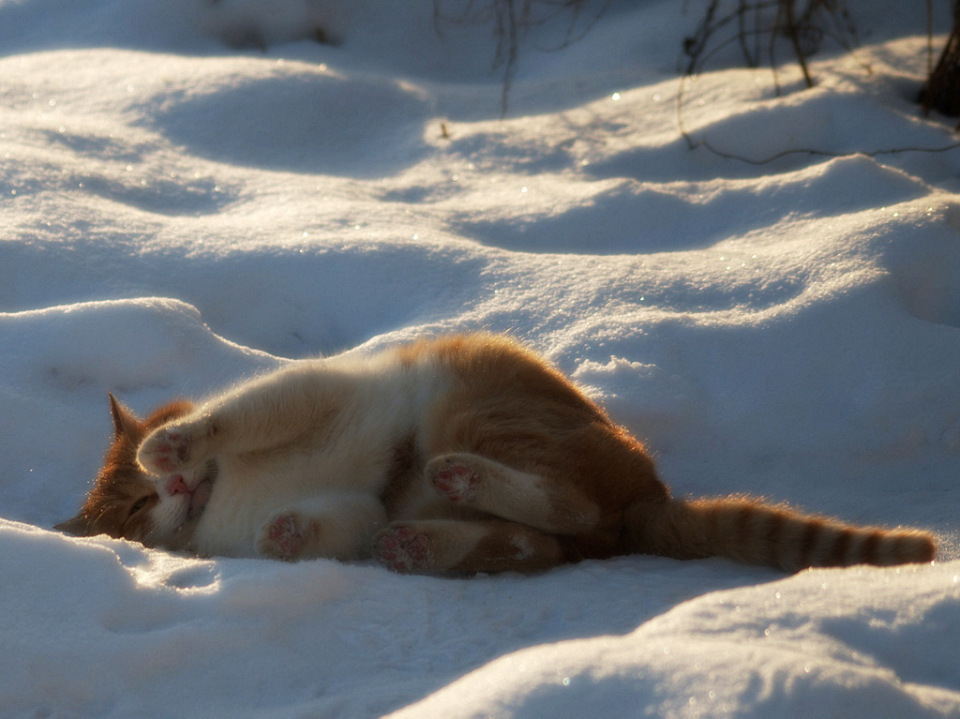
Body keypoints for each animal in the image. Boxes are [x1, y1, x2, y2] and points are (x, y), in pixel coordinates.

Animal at [54, 334, 936, 576]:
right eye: (134, 511)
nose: (166, 484)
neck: (228, 495)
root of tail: (647, 494)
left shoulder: (306, 395)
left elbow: (231, 418)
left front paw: (175, 441)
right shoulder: (350, 505)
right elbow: (321, 523)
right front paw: (289, 534)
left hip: (475, 406)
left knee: (567, 507)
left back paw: (456, 485)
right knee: (542, 536)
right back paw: (423, 538)